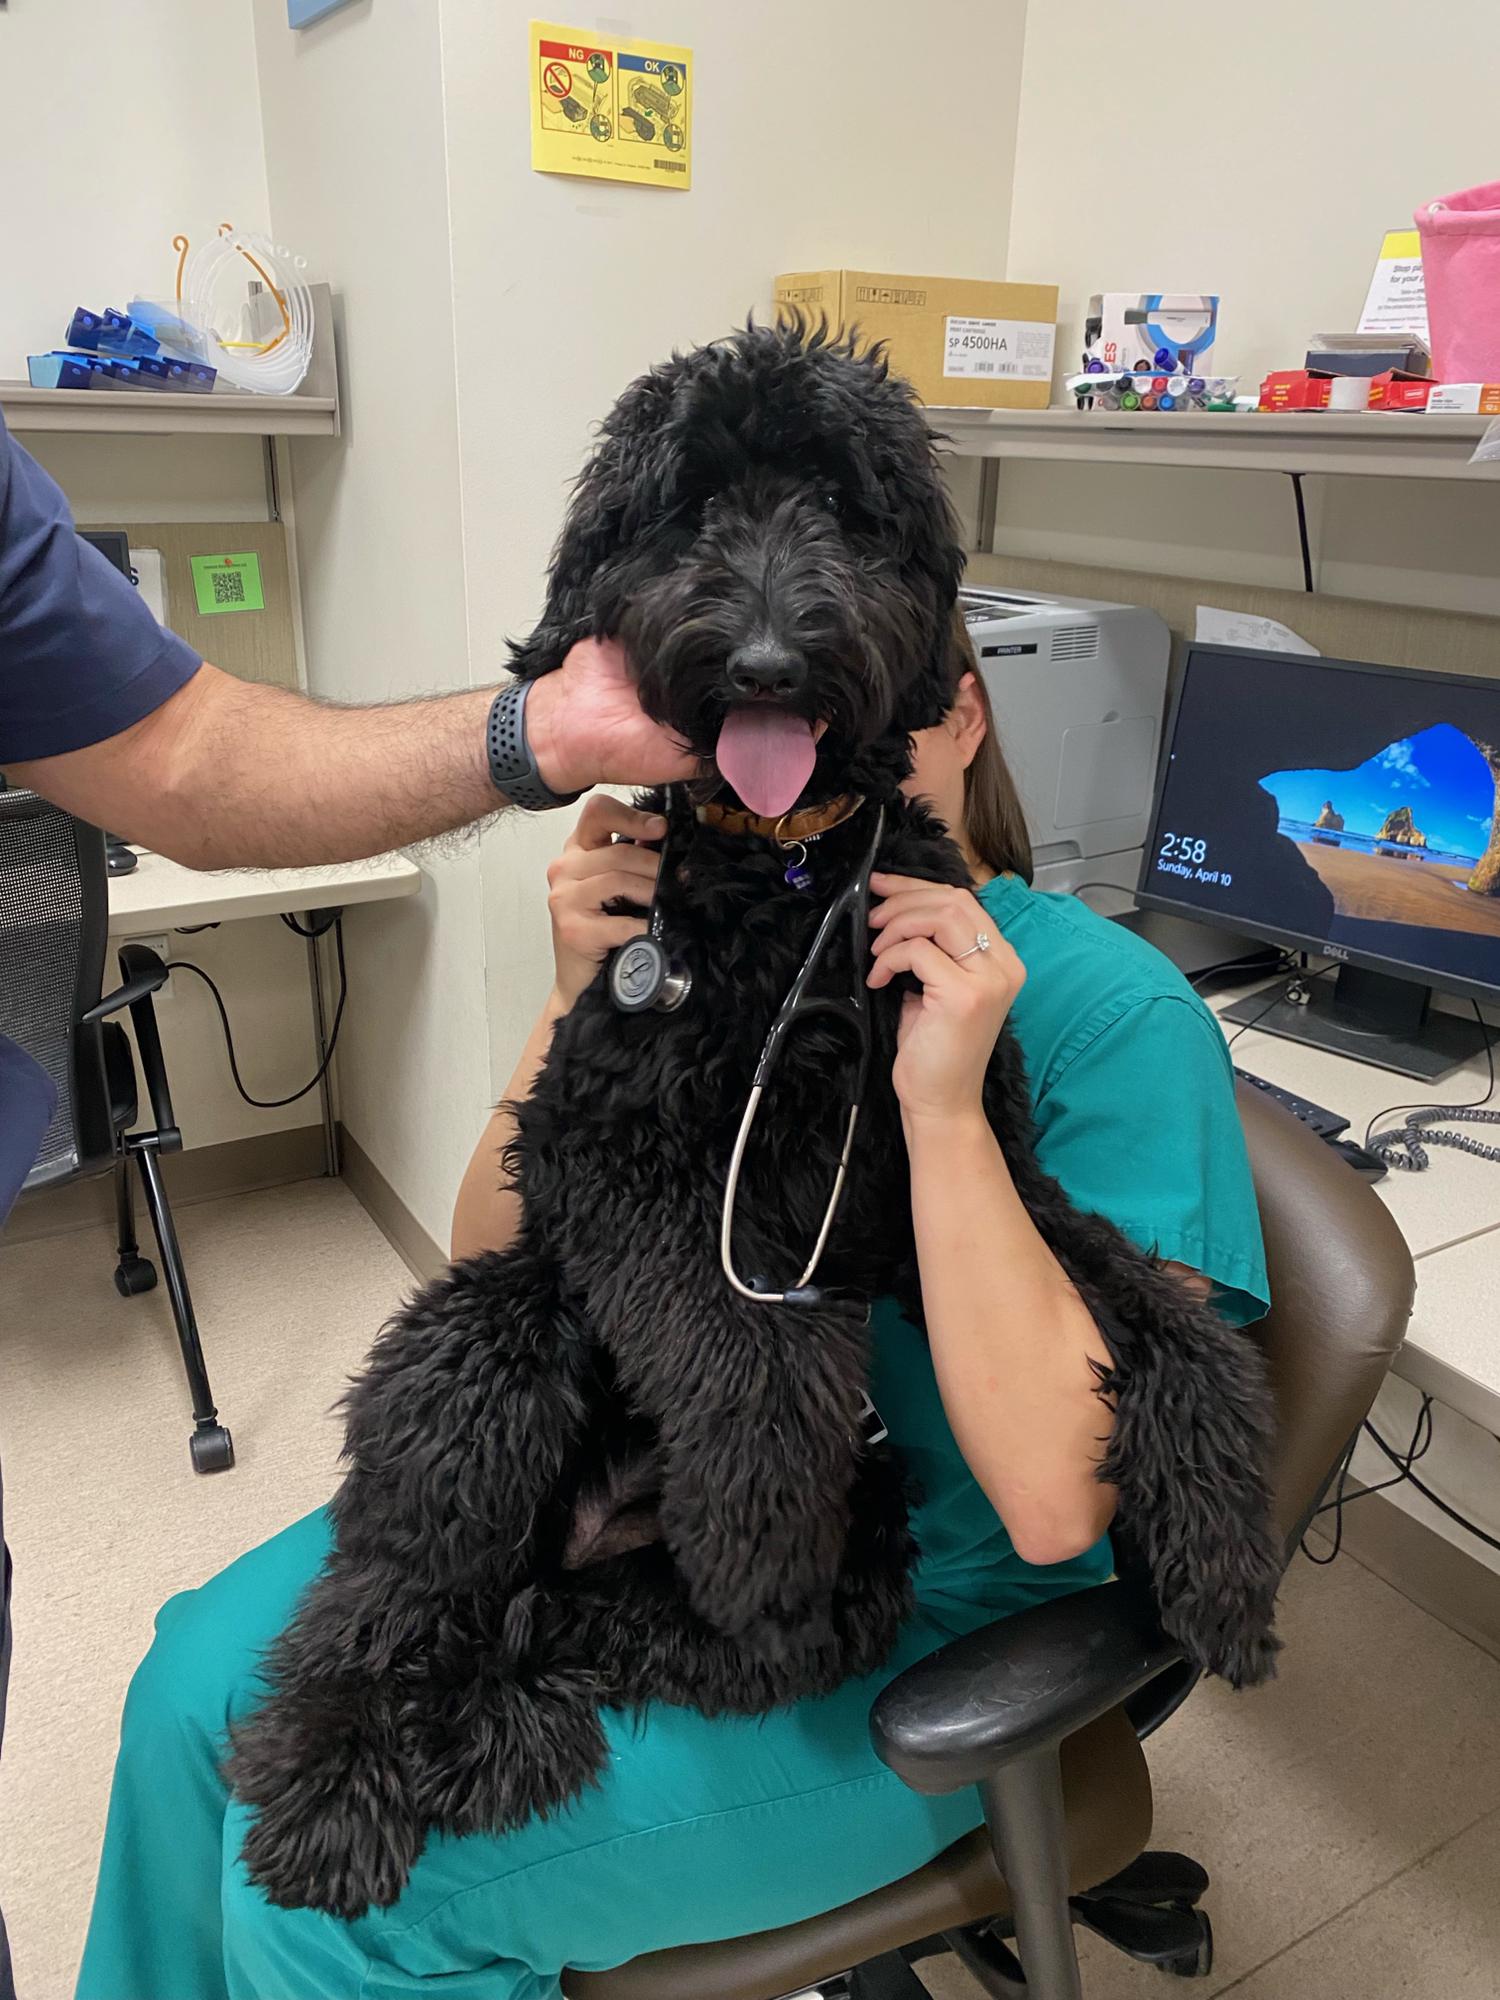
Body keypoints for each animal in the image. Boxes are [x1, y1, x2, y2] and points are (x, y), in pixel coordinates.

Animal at [229, 324, 1288, 1920]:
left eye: (848, 509)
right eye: (693, 510)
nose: (772, 658)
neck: (787, 885)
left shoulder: (982, 1181)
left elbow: (1165, 1317)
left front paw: (1225, 1547)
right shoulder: (613, 1163)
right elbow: (743, 1345)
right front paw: (752, 1504)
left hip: (854, 1524)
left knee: (610, 1636)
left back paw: (505, 1708)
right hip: (484, 1345)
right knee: (382, 1591)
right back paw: (335, 1776)